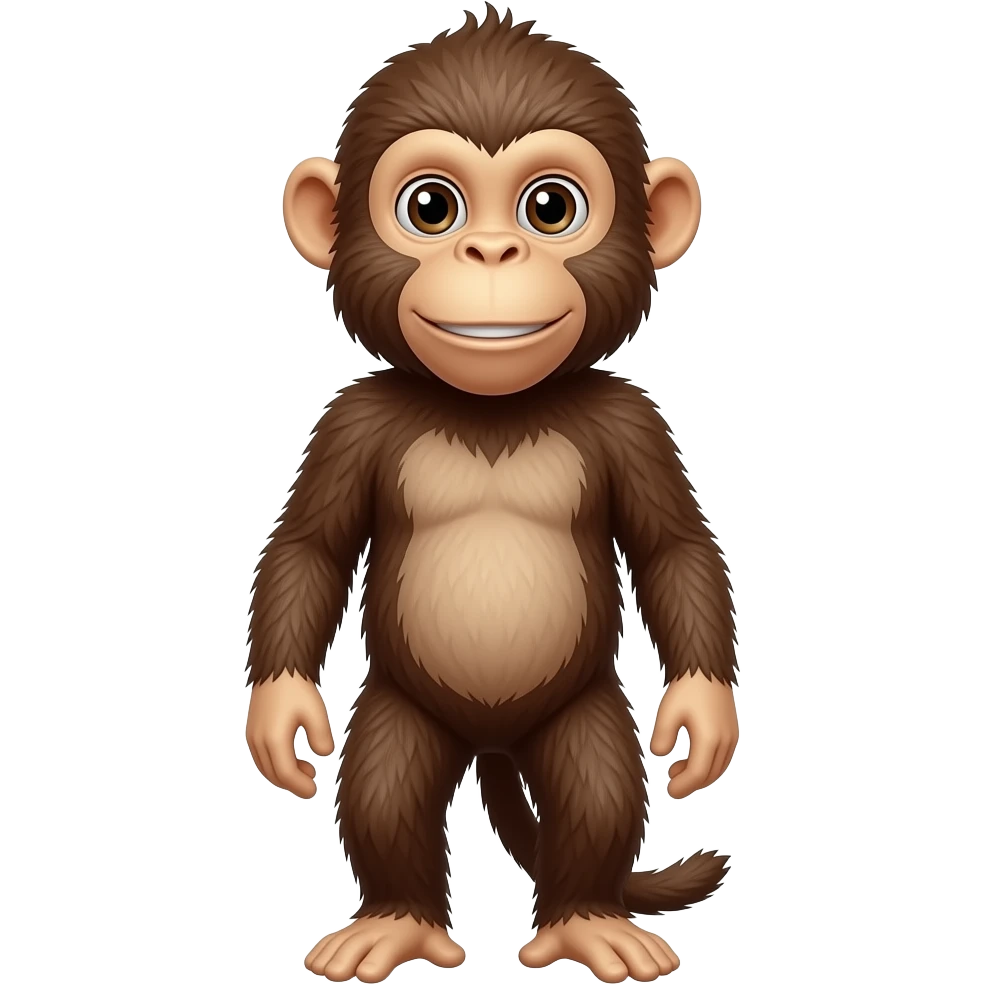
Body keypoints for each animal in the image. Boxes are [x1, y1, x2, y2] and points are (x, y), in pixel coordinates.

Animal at [246, 5, 739, 983]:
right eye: (429, 206)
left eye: (550, 206)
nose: (491, 249)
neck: (491, 409)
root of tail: (493, 744)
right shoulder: (349, 420)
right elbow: (308, 546)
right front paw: (279, 713)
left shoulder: (633, 420)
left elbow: (675, 546)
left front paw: (703, 716)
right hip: (403, 707)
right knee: (386, 783)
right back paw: (394, 921)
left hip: (579, 707)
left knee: (595, 784)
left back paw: (587, 920)